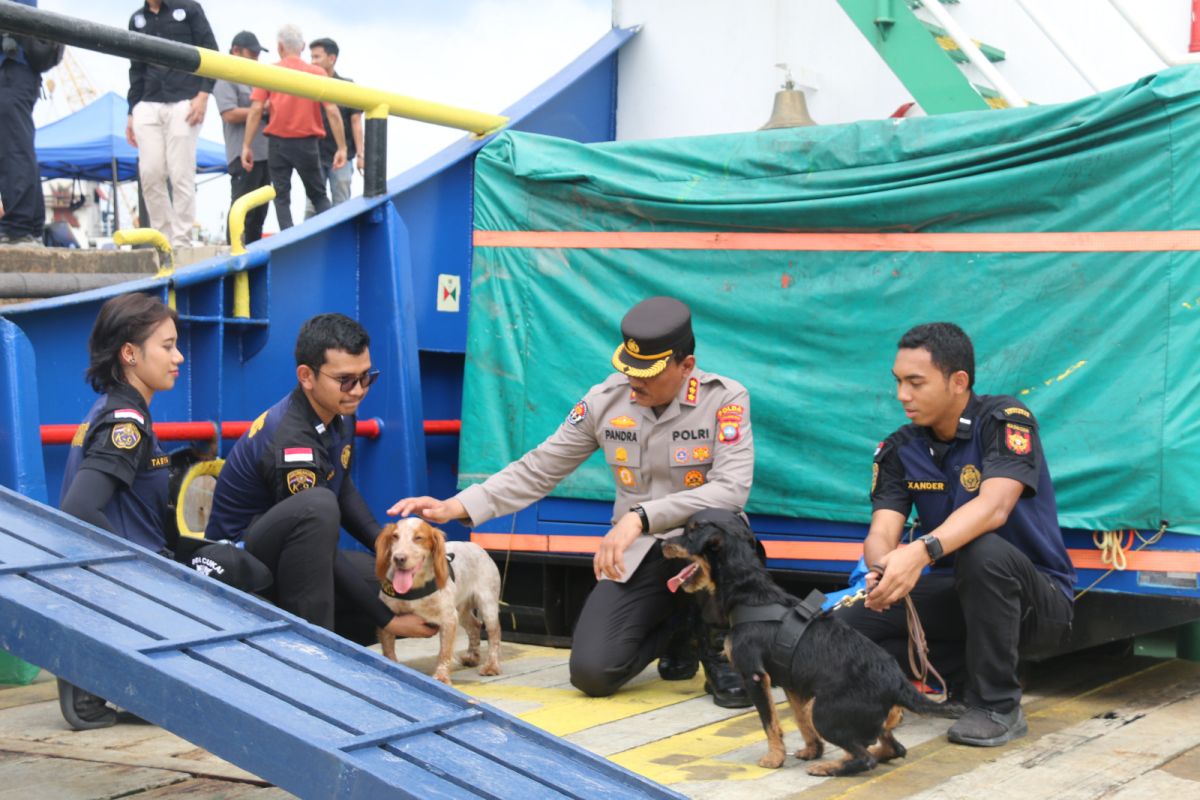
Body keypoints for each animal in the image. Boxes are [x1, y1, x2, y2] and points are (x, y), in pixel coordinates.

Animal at [376, 520, 504, 681]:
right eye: (395, 536)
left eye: (418, 538)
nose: (398, 558)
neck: (416, 585)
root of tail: (477, 547)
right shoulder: (389, 617)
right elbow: (388, 650)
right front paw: (392, 667)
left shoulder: (448, 619)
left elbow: (444, 652)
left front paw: (442, 677)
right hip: (461, 611)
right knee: (475, 626)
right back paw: (472, 656)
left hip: (487, 605)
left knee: (494, 634)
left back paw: (492, 666)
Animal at [662, 510, 960, 777]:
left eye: (690, 533)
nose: (662, 543)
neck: (749, 593)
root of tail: (898, 682)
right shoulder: (792, 683)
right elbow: (799, 719)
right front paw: (811, 751)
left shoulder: (755, 676)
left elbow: (770, 721)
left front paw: (774, 758)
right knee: (892, 748)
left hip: (826, 711)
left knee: (865, 758)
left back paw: (830, 767)